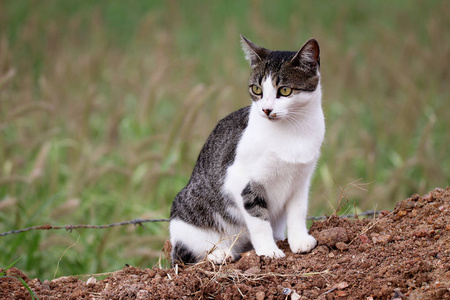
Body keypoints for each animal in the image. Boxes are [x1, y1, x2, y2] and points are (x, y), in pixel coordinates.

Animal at [171, 35, 326, 264]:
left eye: (285, 90)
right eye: (257, 89)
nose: (266, 109)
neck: (292, 131)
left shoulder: (301, 180)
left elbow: (298, 212)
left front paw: (299, 240)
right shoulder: (241, 181)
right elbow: (259, 221)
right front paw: (269, 251)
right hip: (186, 217)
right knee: (186, 254)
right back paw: (219, 253)